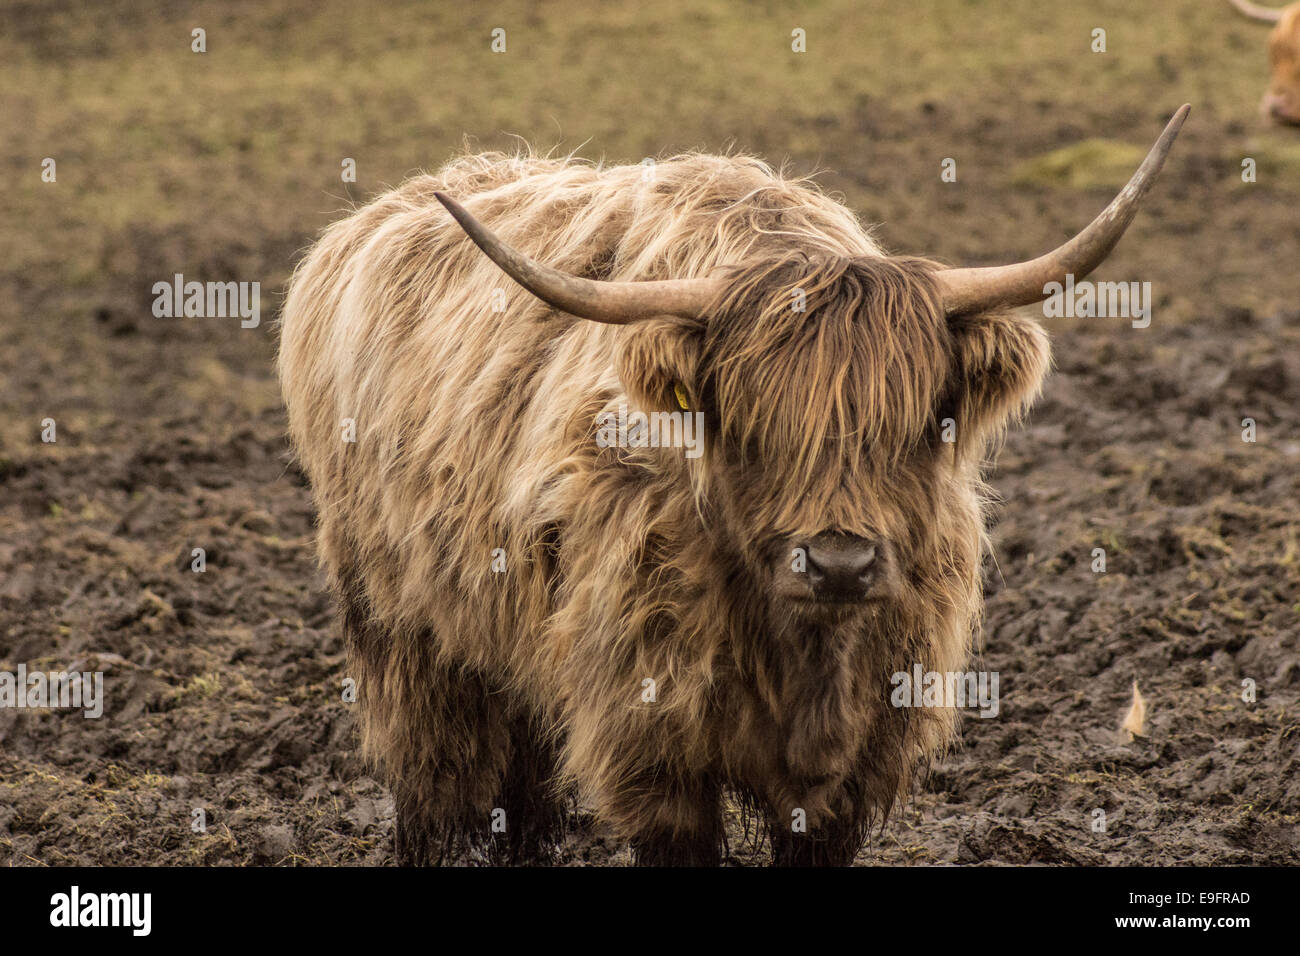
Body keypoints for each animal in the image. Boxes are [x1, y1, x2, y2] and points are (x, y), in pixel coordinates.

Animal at [276, 106, 1190, 868]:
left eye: (920, 418)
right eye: (755, 424)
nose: (839, 564)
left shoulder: (861, 758)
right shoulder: (653, 746)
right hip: (402, 629)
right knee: (434, 779)